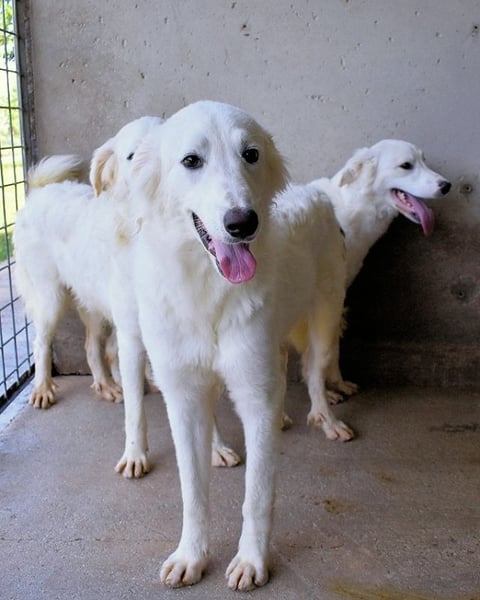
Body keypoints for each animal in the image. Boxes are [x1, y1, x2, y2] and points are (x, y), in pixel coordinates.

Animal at [107, 100, 348, 590]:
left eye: (250, 154)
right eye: (191, 161)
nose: (242, 223)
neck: (206, 290)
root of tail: (314, 192)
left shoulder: (255, 395)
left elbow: (257, 495)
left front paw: (252, 561)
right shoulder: (182, 395)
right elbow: (193, 493)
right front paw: (192, 555)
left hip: (324, 320)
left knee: (314, 374)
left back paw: (325, 417)